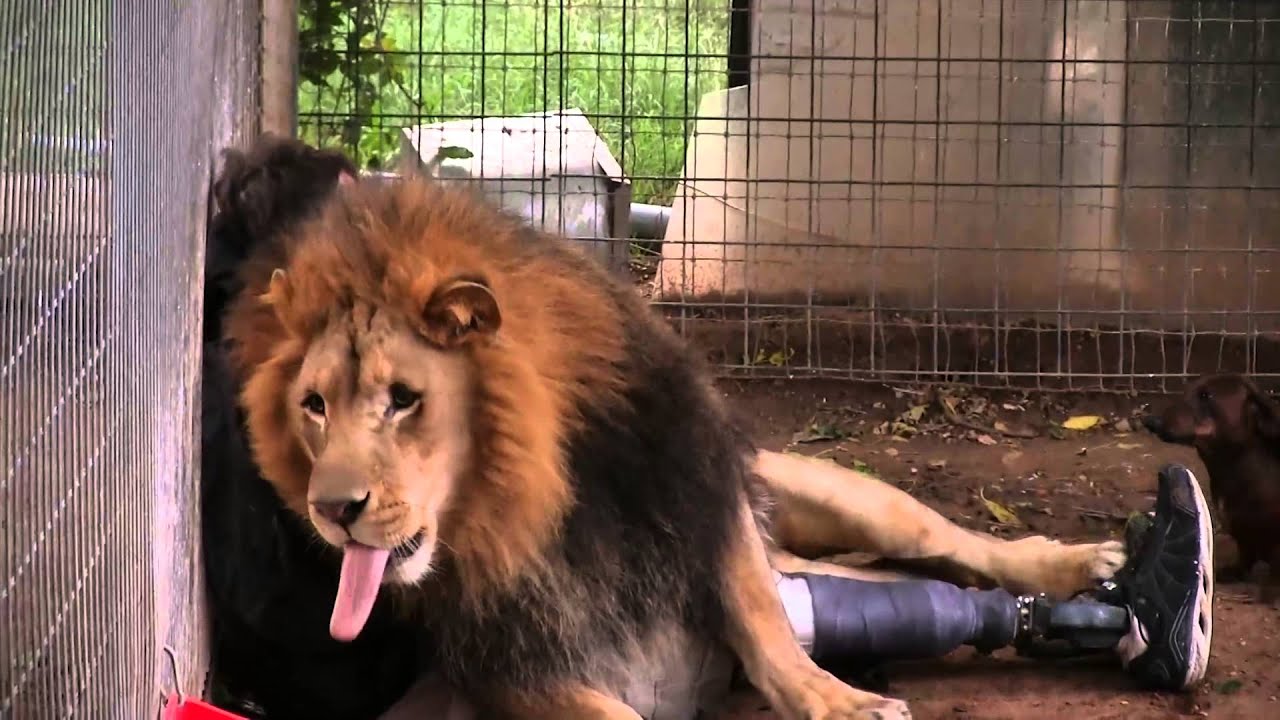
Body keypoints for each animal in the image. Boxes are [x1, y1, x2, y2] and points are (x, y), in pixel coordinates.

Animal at [219, 163, 1125, 719]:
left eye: (404, 400)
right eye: (313, 405)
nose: (333, 510)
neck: (522, 504)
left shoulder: (701, 495)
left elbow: (763, 623)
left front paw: (843, 701)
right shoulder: (507, 661)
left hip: (845, 499)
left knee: (958, 545)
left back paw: (1083, 564)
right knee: (894, 582)